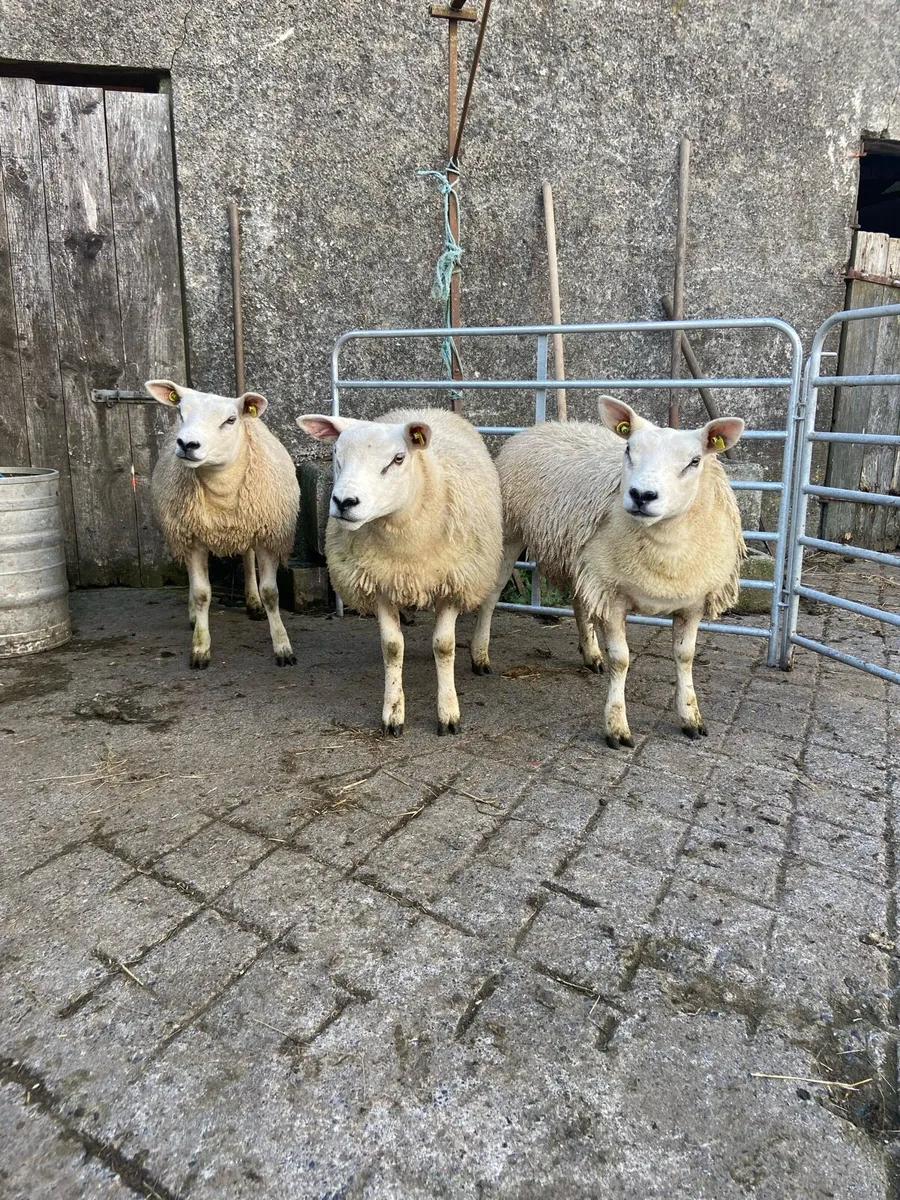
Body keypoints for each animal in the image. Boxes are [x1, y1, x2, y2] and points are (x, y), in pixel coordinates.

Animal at [146, 379, 299, 669]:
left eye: (230, 420)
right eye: (180, 411)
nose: (187, 444)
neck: (221, 487)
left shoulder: (267, 534)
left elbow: (271, 592)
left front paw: (283, 647)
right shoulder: (193, 537)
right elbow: (202, 593)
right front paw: (200, 648)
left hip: (247, 524)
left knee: (247, 557)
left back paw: (252, 602)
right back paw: (194, 617)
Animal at [297, 408, 503, 736]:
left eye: (398, 459)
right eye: (336, 454)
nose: (344, 502)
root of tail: (425, 411)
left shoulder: (453, 583)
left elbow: (444, 646)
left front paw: (448, 713)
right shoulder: (380, 582)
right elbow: (392, 647)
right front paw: (393, 714)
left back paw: (479, 656)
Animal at [470, 397, 745, 747]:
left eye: (694, 461)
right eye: (628, 449)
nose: (642, 495)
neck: (664, 546)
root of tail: (546, 425)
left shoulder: (692, 601)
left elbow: (685, 656)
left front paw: (691, 717)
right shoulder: (613, 595)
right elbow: (622, 659)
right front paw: (616, 726)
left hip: (583, 558)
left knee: (579, 602)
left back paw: (591, 654)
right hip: (510, 532)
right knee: (492, 595)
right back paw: (480, 656)